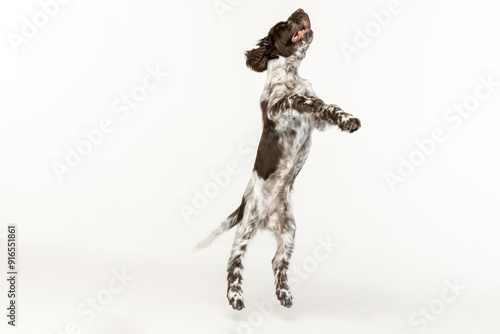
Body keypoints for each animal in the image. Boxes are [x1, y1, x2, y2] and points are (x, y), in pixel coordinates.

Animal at [193, 7, 362, 310]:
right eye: (282, 24)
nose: (300, 10)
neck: (291, 75)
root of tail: (251, 210)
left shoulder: (318, 122)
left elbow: (328, 107)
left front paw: (348, 119)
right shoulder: (275, 112)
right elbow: (295, 99)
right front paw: (305, 100)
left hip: (289, 231)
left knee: (277, 262)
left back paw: (284, 293)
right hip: (245, 227)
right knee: (233, 262)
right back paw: (235, 296)